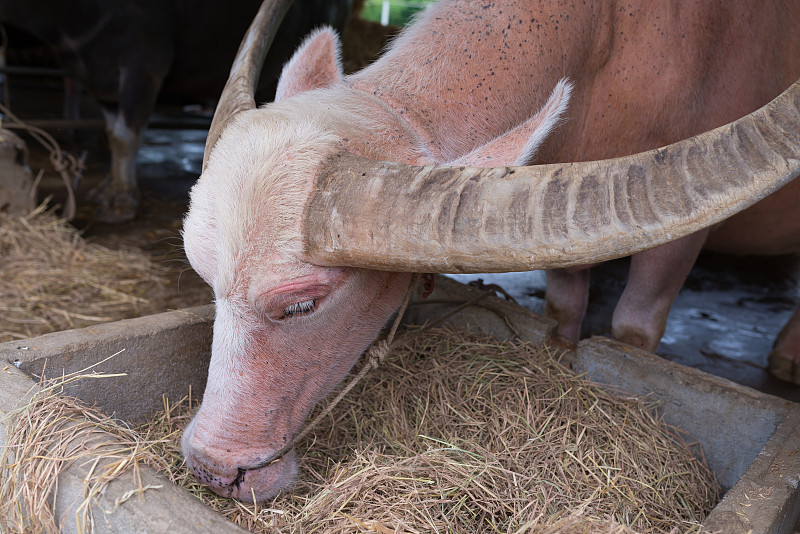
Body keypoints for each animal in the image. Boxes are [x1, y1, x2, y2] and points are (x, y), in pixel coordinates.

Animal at [0, 0, 350, 222]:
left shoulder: (144, 64)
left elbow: (124, 135)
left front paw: (122, 201)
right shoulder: (99, 76)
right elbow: (113, 132)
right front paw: (110, 187)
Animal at [181, 0, 800, 502]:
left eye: (302, 305)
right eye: (205, 280)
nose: (214, 470)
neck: (608, 41)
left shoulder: (679, 243)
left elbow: (634, 329)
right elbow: (563, 311)